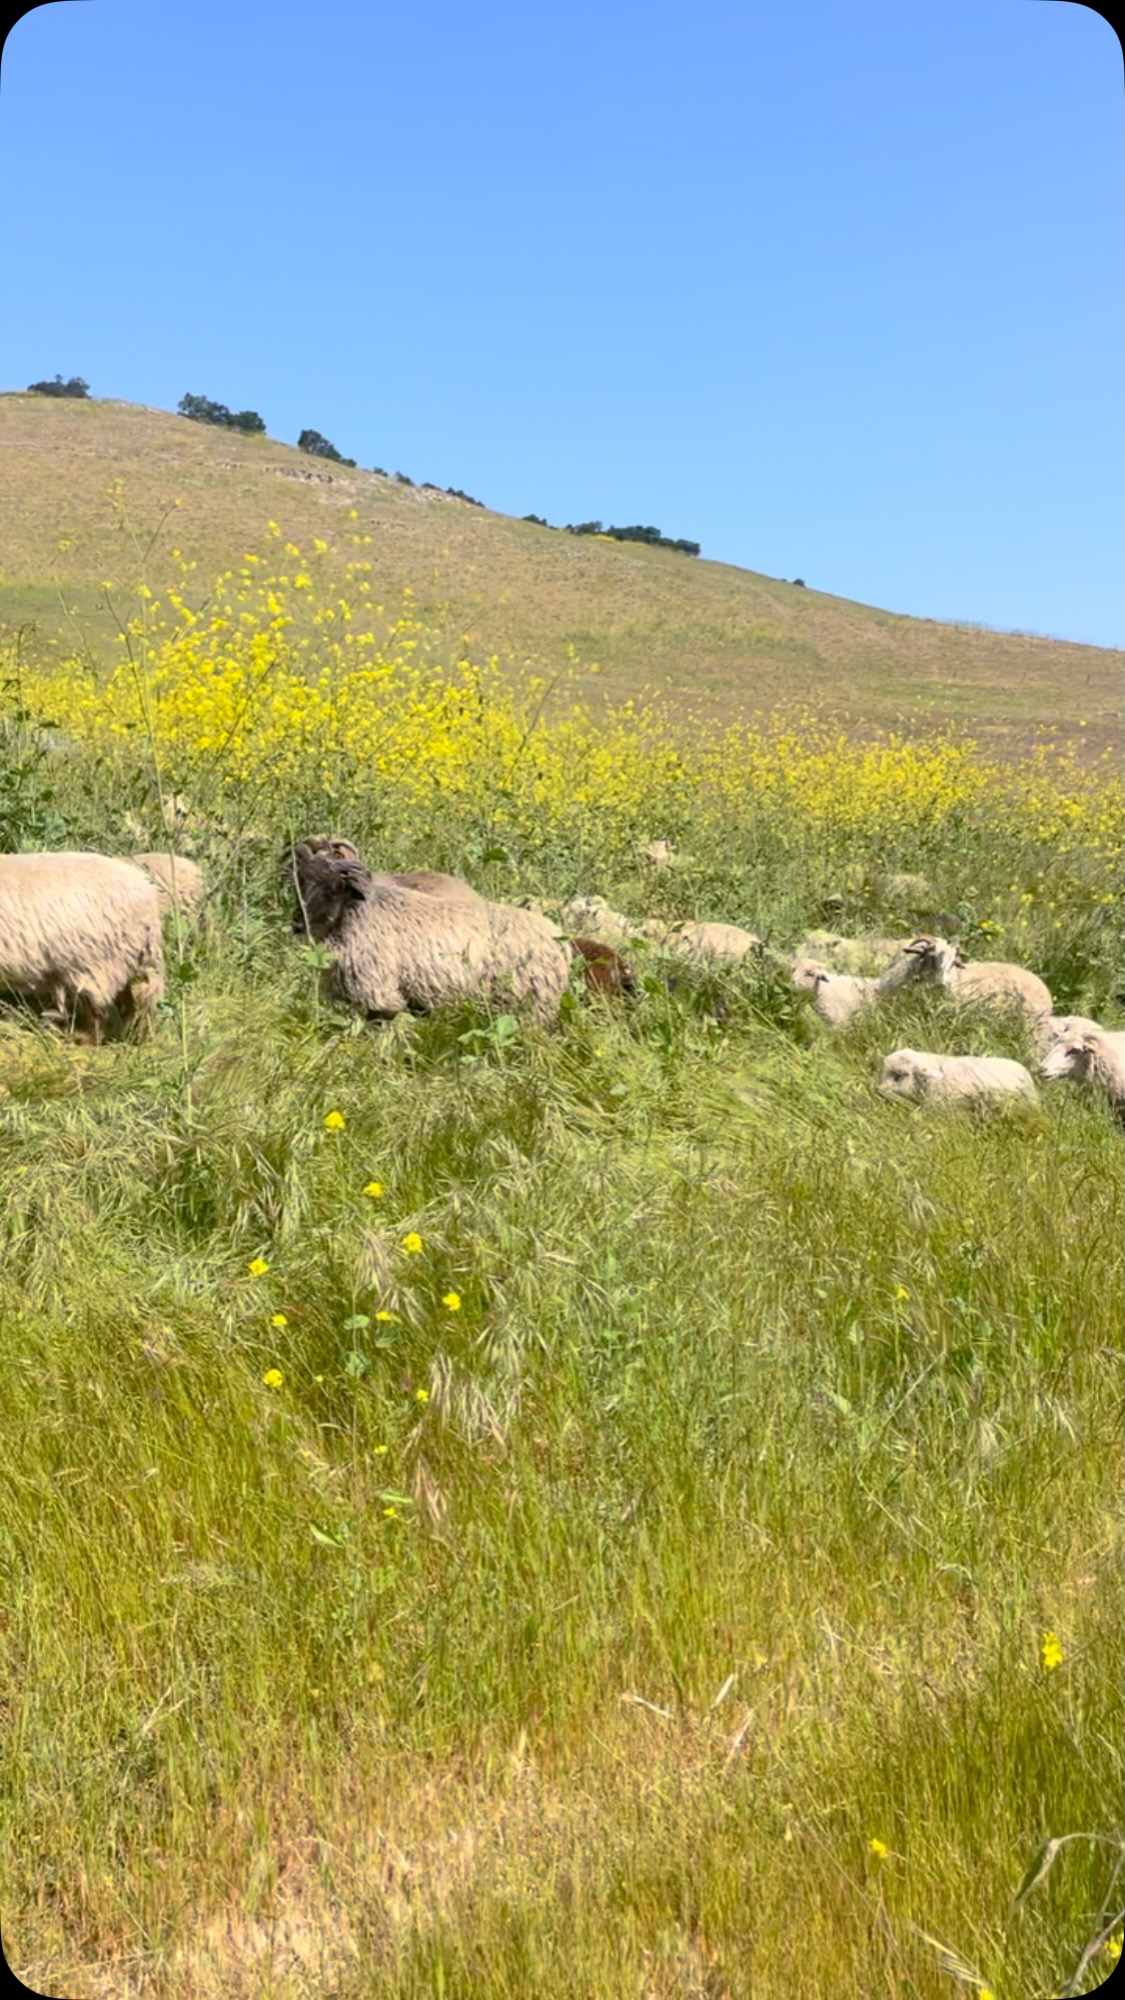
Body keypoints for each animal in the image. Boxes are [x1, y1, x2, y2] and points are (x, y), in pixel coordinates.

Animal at [290, 848, 572, 1022]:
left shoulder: (377, 992)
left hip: (533, 1001)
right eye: (302, 881)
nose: (297, 924)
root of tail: (559, 938)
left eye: (335, 886)